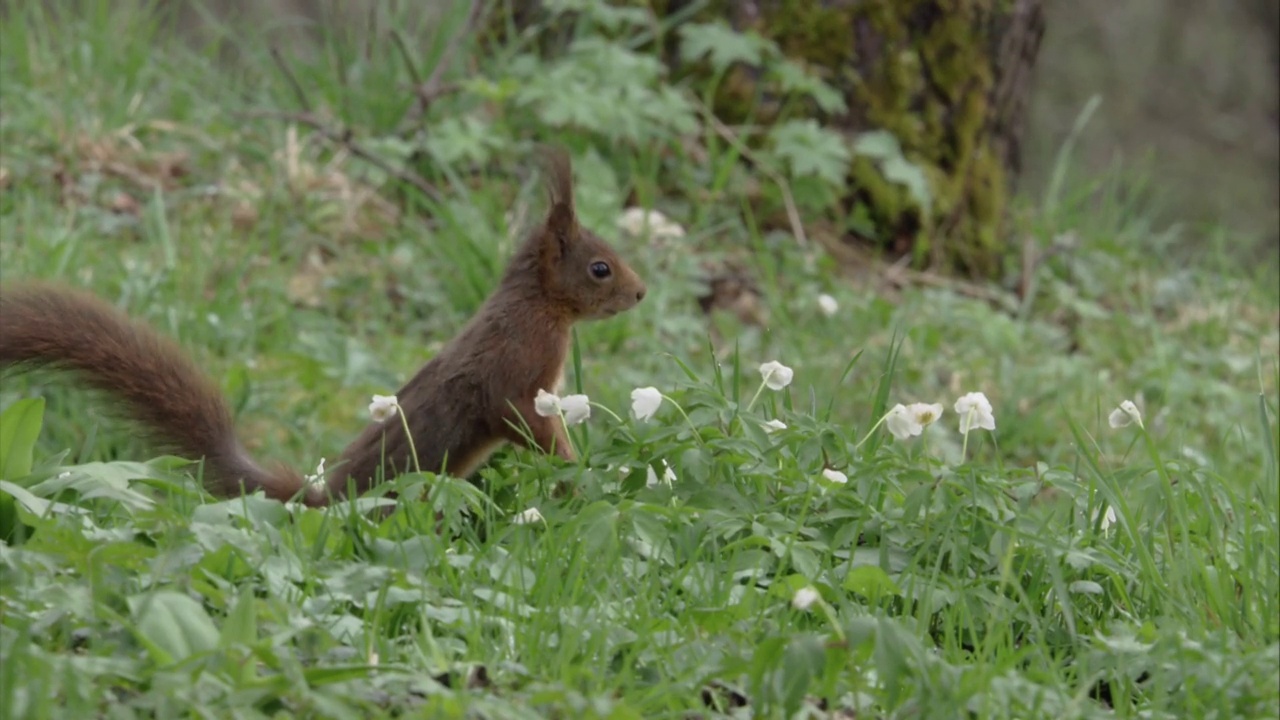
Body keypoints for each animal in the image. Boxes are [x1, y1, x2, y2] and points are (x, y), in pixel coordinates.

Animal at [0, 146, 645, 504]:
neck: (538, 304)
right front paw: (571, 466)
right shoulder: (518, 369)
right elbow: (521, 418)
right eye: (600, 268)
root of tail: (321, 502)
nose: (640, 293)